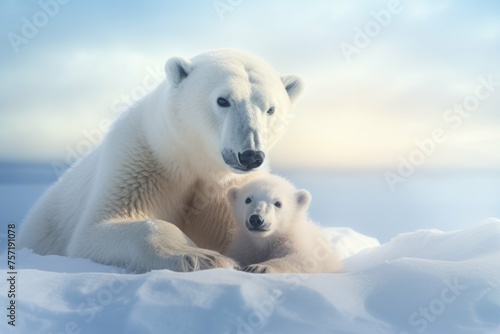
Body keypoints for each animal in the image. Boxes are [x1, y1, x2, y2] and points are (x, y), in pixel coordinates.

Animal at [19, 49, 302, 272]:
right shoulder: (141, 159)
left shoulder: (230, 188)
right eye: (223, 100)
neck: (195, 161)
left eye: (271, 109)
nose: (250, 155)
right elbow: (99, 228)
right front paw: (202, 256)